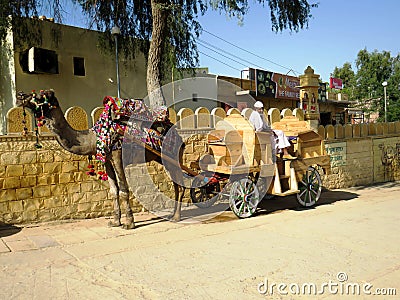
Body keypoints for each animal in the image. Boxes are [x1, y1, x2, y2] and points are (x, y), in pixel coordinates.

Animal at [15, 89, 184, 230]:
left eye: (38, 96)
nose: (19, 95)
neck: (94, 137)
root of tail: (179, 135)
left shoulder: (117, 155)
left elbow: (123, 190)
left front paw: (129, 224)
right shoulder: (107, 160)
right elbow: (113, 191)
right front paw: (115, 222)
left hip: (171, 157)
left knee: (179, 183)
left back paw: (176, 217)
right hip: (162, 158)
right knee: (176, 184)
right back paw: (173, 215)